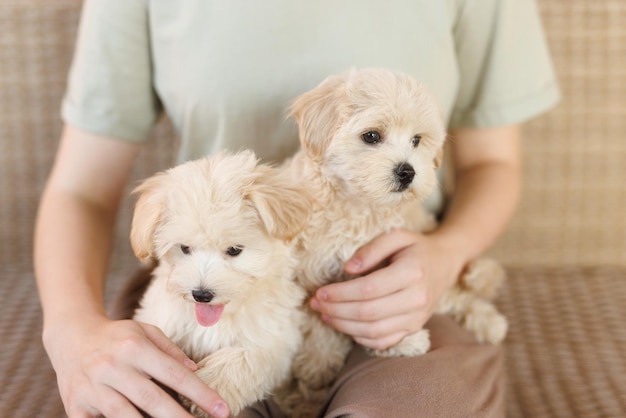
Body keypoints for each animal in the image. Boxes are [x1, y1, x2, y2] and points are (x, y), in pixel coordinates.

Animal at [131, 151, 310, 418]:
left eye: (234, 250)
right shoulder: (160, 316)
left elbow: (246, 358)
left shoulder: (275, 339)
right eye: (185, 248)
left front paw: (211, 388)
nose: (201, 294)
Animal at [276, 68, 504, 414]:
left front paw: (400, 342)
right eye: (371, 136)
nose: (408, 172)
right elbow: (318, 327)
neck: (358, 205)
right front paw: (317, 367)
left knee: (458, 294)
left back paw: (489, 320)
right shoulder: (310, 274)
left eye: (416, 140)